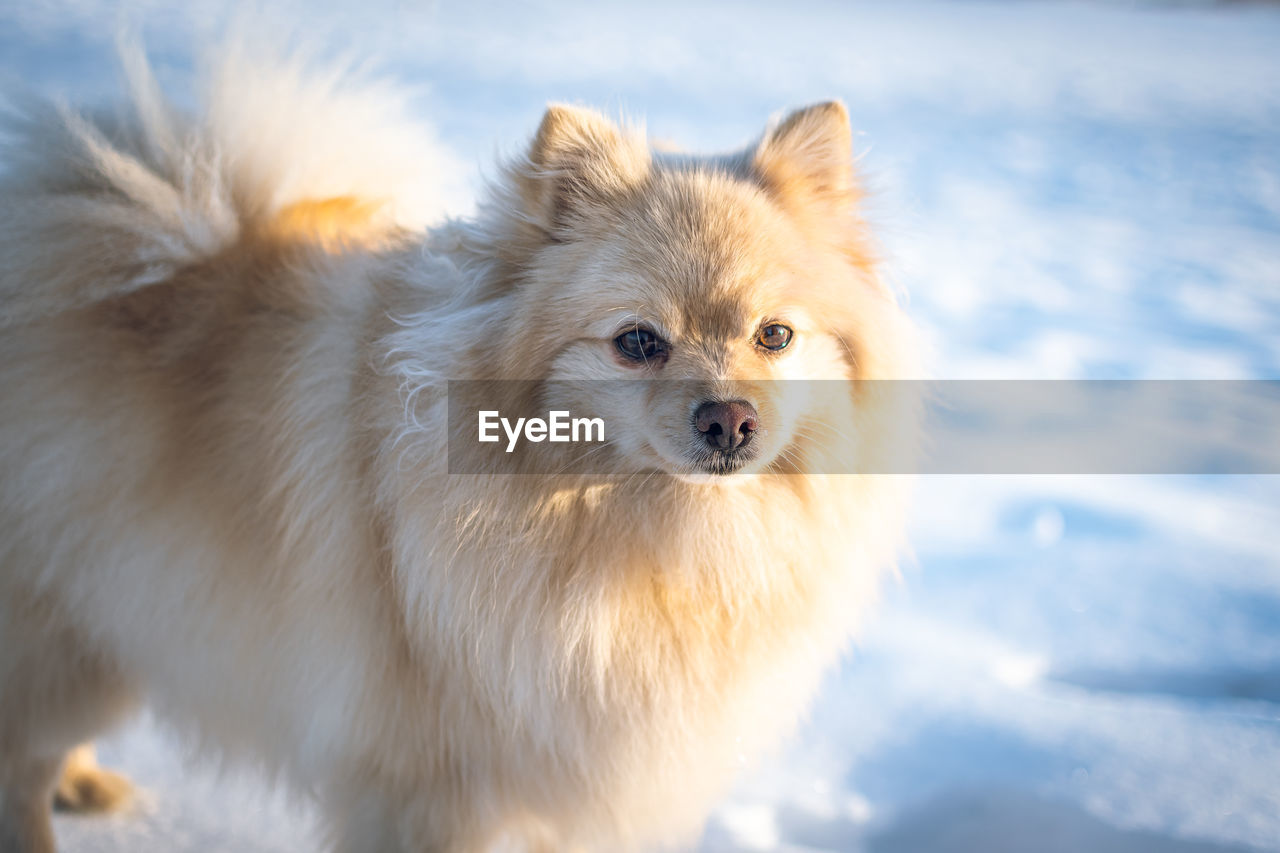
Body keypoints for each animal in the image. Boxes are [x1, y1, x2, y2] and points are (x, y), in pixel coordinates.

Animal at [0, 44, 921, 850]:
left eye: (775, 336)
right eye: (638, 342)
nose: (729, 419)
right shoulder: (428, 783)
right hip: (64, 635)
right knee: (18, 765)